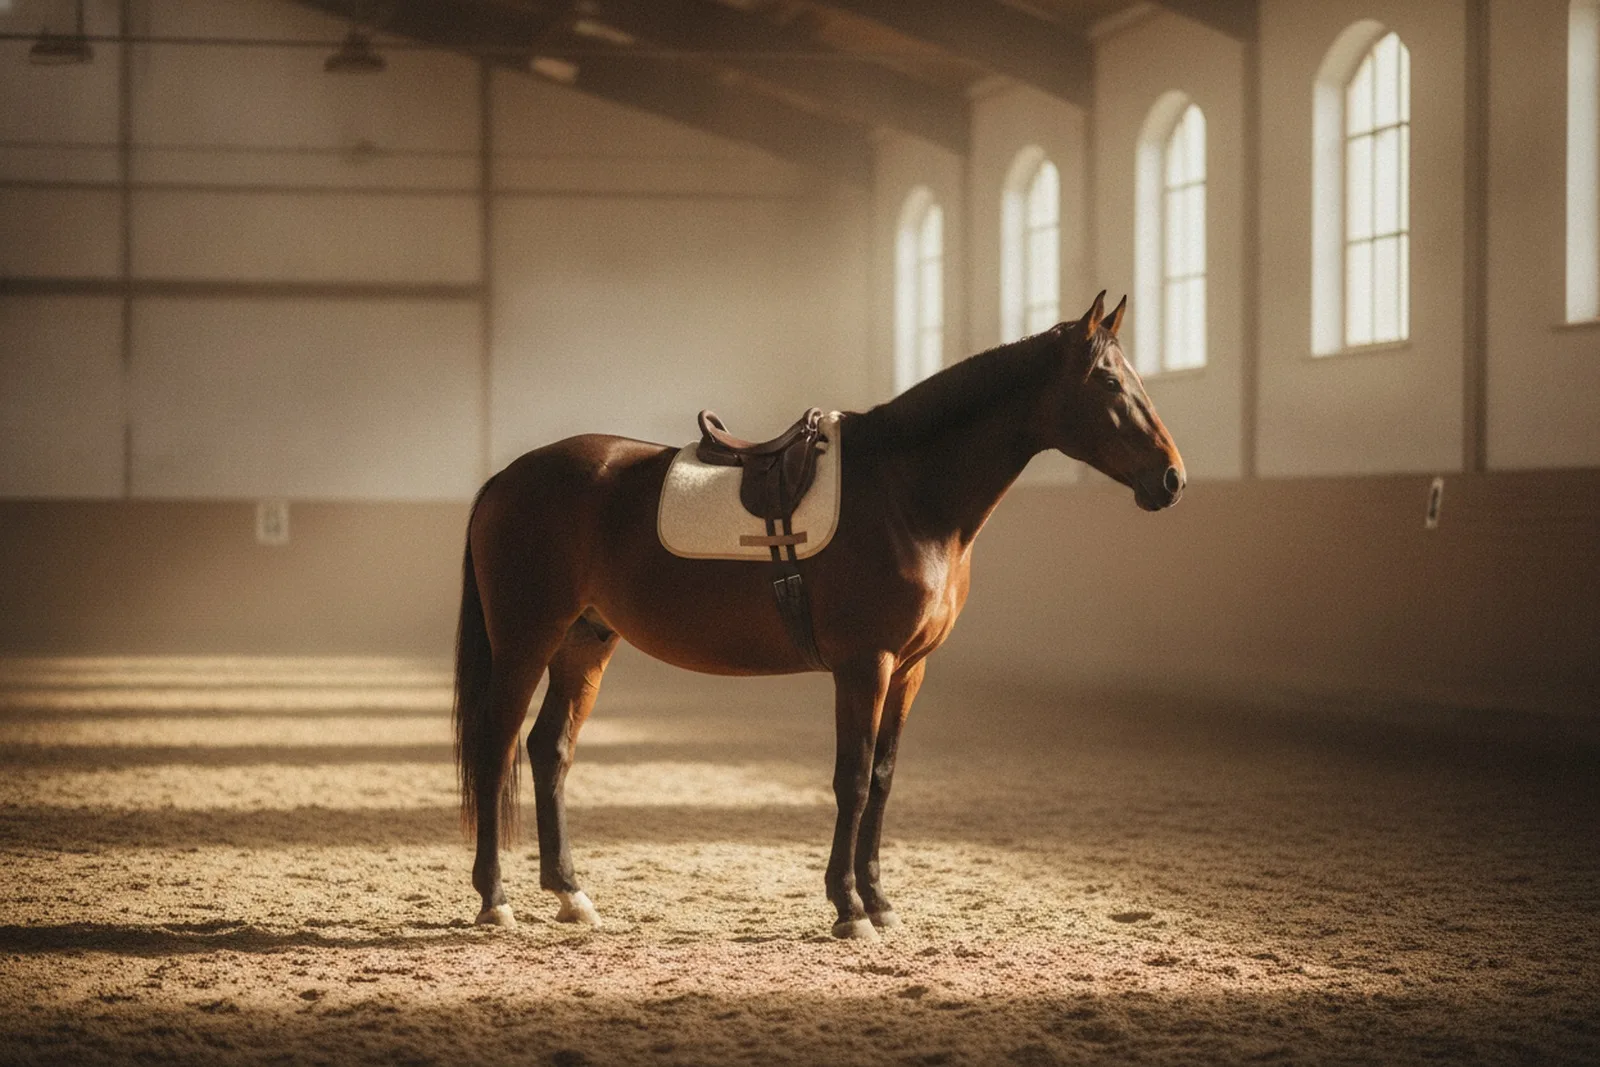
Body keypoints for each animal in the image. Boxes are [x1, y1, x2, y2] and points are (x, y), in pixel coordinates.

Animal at [453, 291, 1185, 939]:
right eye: (1109, 382)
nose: (1172, 478)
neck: (905, 494)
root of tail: (505, 479)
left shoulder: (910, 669)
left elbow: (883, 780)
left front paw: (880, 902)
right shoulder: (866, 664)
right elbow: (852, 779)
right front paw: (849, 908)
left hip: (585, 641)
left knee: (550, 750)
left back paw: (570, 895)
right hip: (526, 640)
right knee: (496, 746)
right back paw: (495, 901)